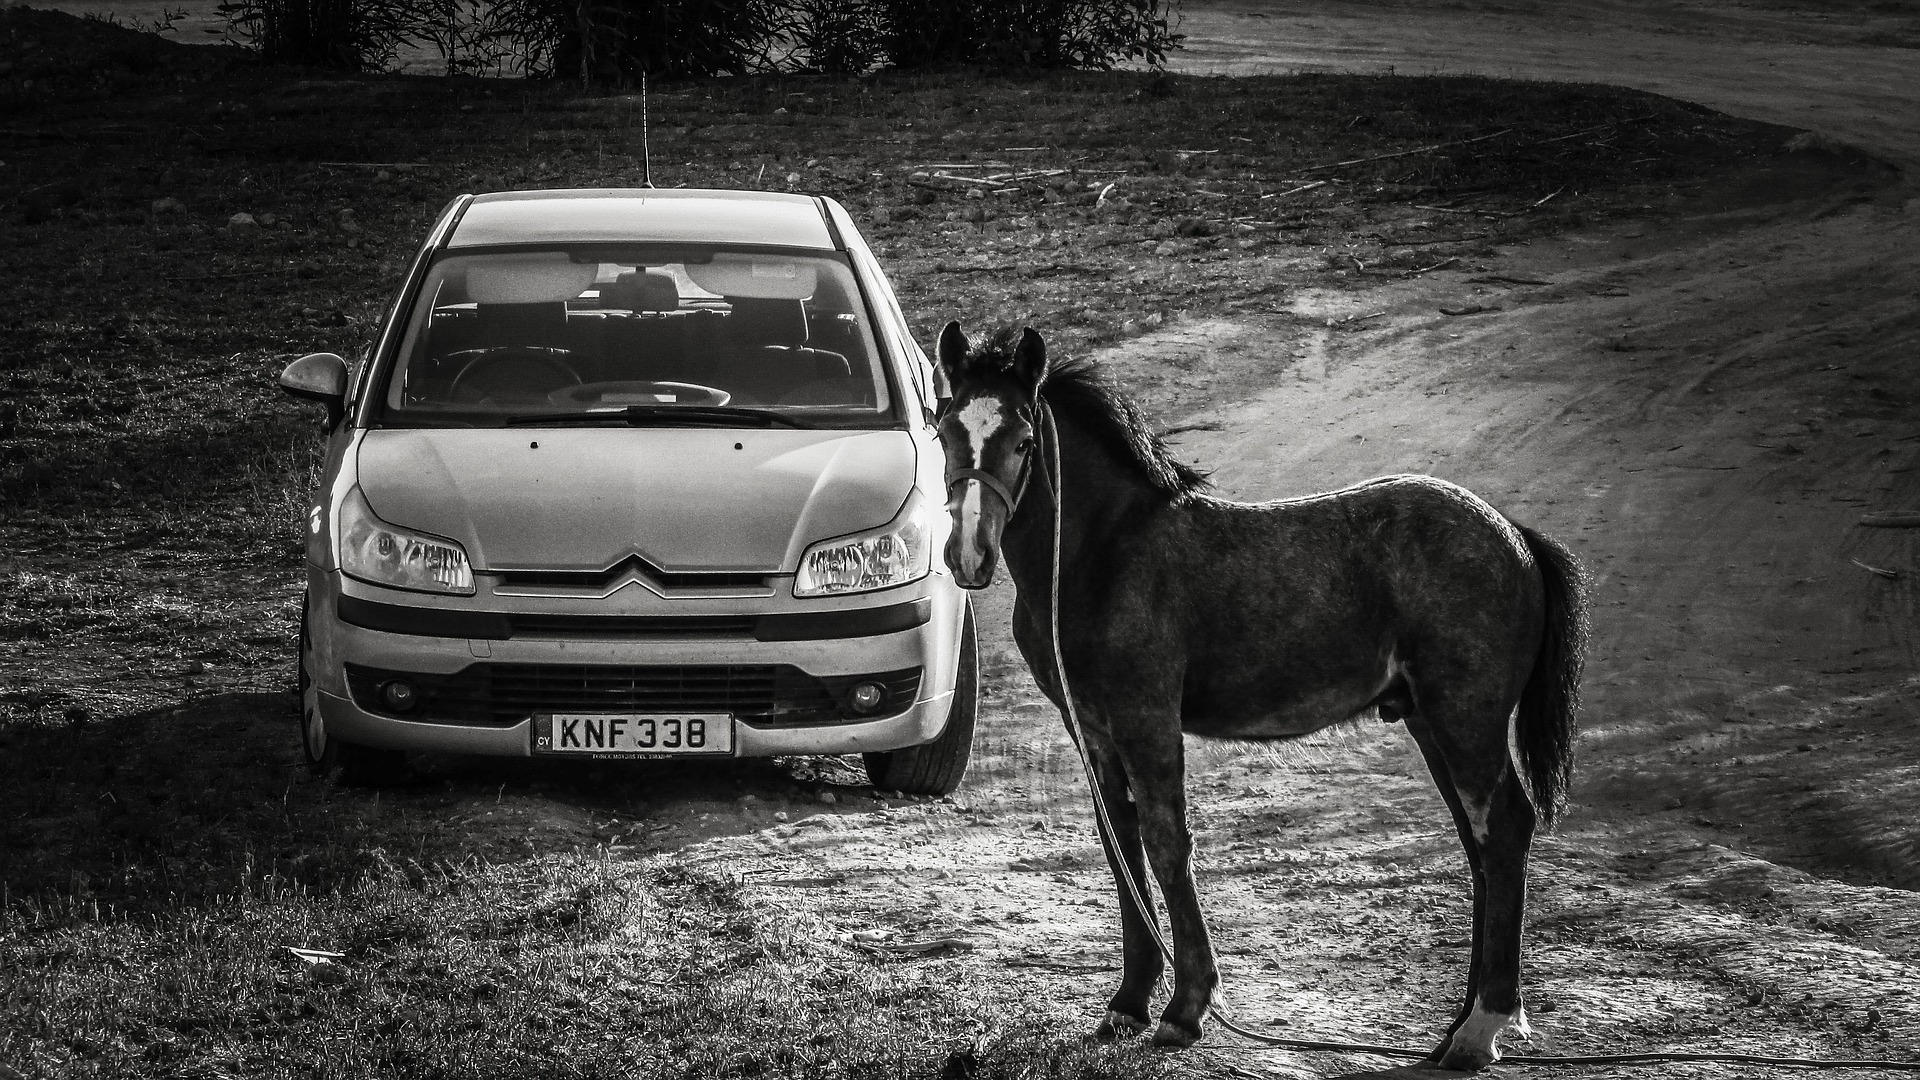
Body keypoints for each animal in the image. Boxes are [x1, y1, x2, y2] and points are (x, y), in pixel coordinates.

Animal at [933, 322, 1588, 1071]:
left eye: (1022, 440)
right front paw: (1127, 1004)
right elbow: (1118, 844)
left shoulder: (1146, 718)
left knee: (1501, 828)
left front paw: (1185, 1010)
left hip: (1466, 718)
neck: (1105, 554)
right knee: (1478, 841)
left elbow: (1164, 842)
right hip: (1430, 720)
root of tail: (1514, 536)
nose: (969, 557)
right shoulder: (1090, 728)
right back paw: (1457, 1028)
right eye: (945, 430)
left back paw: (1482, 1027)